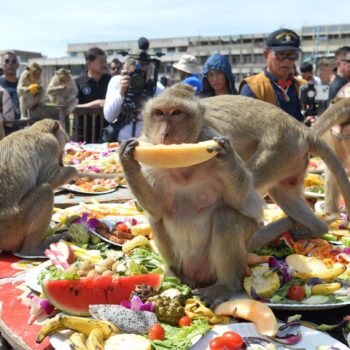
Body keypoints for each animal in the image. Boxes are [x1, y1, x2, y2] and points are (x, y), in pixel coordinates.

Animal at [0, 119, 78, 254]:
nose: (62, 162)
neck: (37, 130)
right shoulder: (51, 145)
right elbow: (49, 179)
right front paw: (74, 172)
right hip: (13, 228)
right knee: (46, 191)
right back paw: (33, 248)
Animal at [121, 83, 266, 304]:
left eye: (176, 113)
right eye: (159, 113)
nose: (165, 133)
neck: (182, 168)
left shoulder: (210, 136)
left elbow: (239, 202)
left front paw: (227, 156)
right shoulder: (149, 162)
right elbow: (157, 209)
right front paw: (127, 160)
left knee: (226, 217)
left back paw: (226, 285)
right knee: (157, 219)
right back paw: (174, 276)